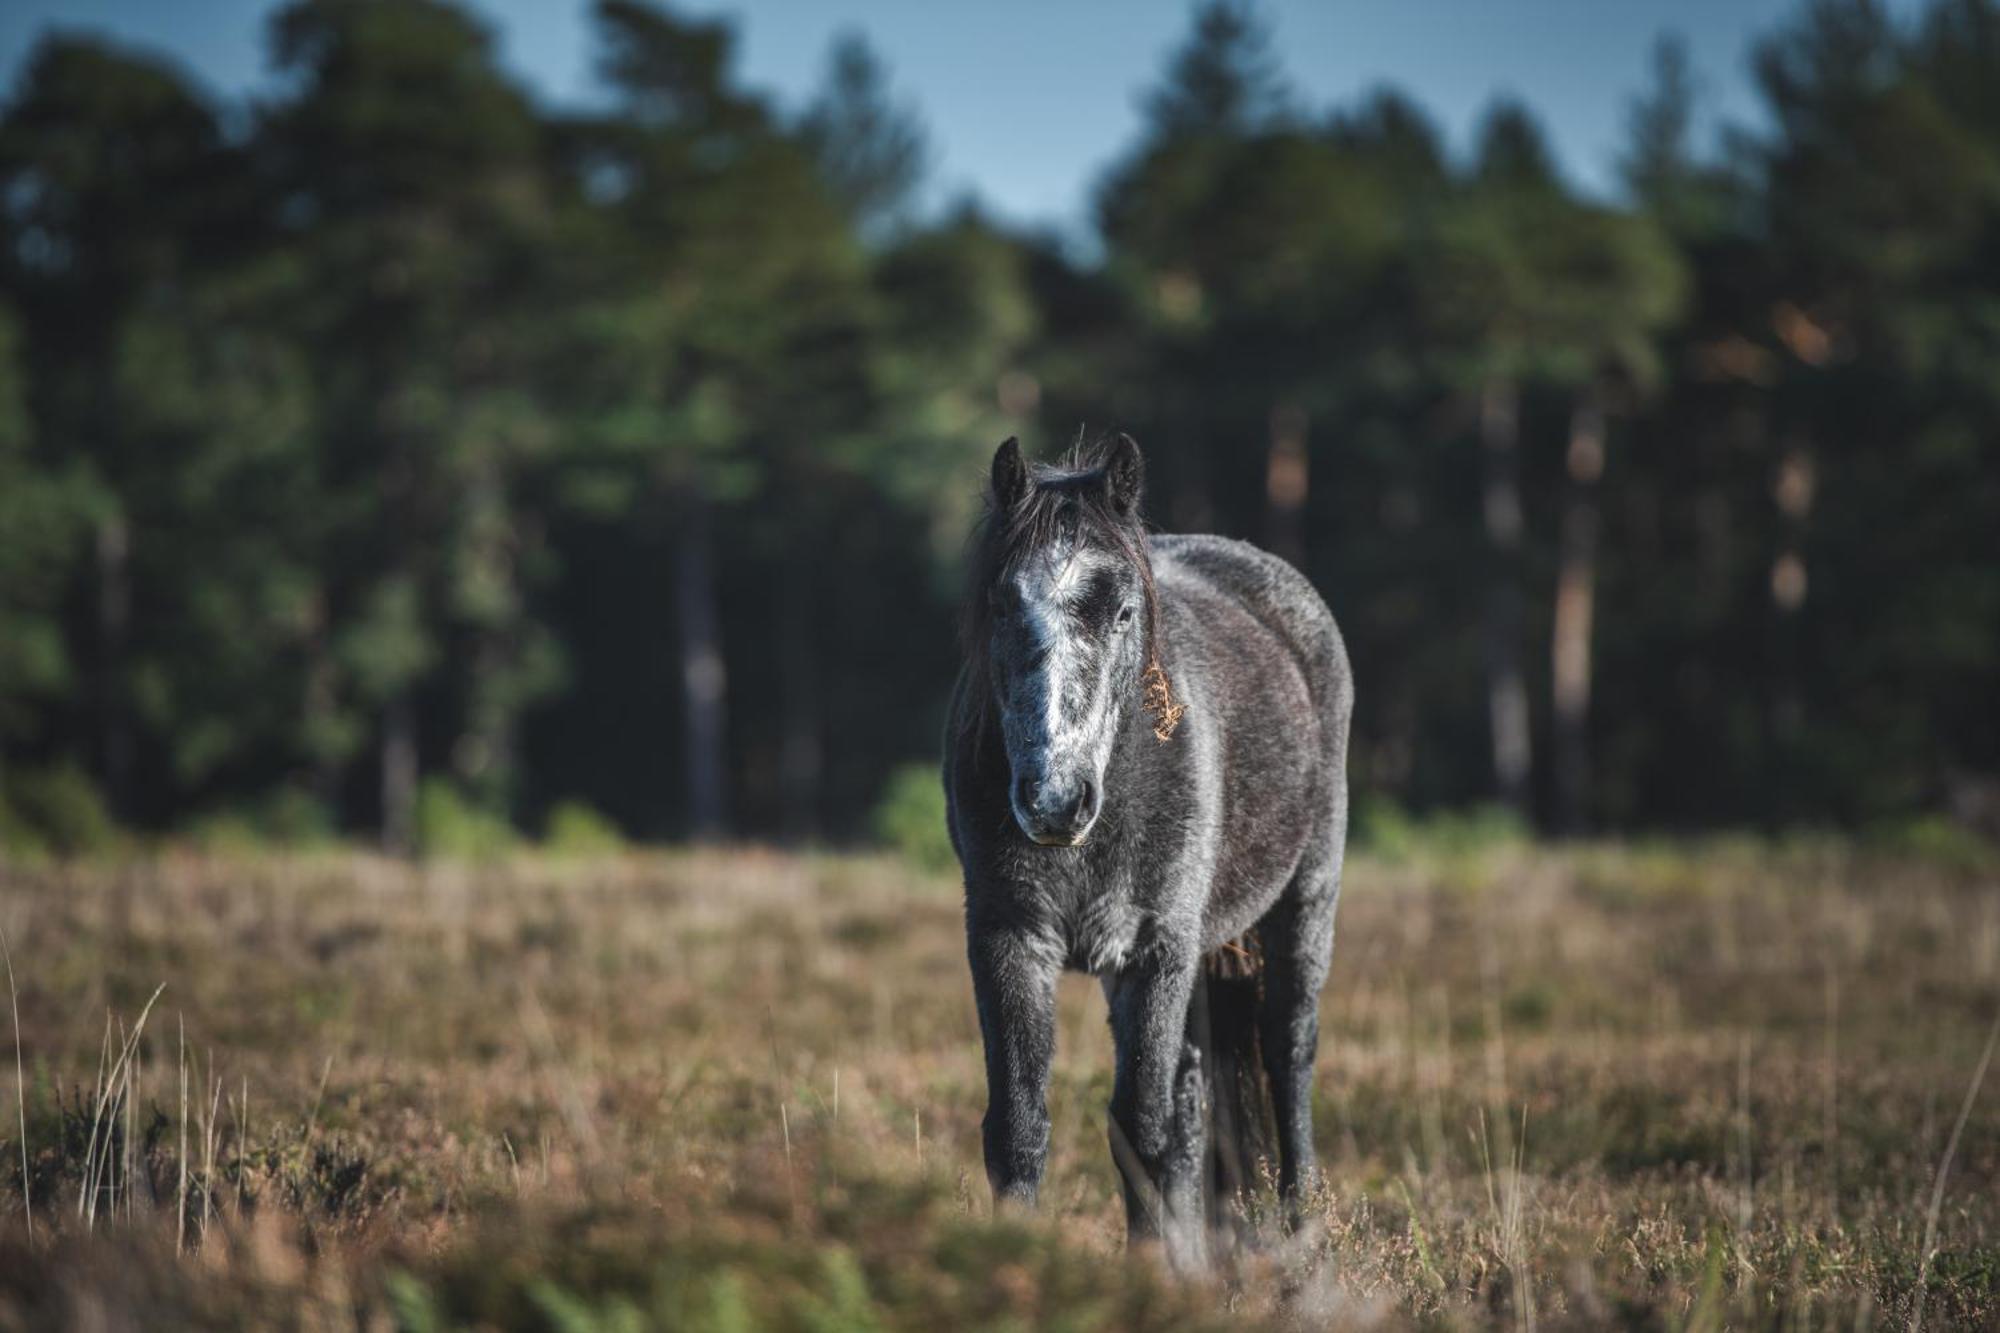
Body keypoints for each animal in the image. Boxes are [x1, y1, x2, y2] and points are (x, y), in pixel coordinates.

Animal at [940, 430, 1352, 1264]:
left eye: (1125, 609)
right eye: (1001, 604)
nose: (1054, 799)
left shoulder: (1155, 950)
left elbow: (1139, 1127)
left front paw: (1144, 1275)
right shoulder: (1009, 942)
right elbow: (1019, 1126)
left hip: (1305, 899)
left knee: (1288, 1051)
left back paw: (1301, 1231)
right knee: (1195, 1091)